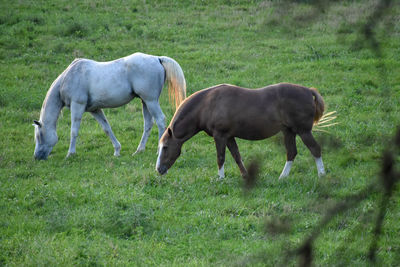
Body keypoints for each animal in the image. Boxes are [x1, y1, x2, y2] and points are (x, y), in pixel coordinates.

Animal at [32, 53, 186, 160]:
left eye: (39, 135)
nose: (37, 157)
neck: (68, 77)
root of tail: (157, 58)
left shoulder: (77, 106)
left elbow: (74, 131)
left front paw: (70, 153)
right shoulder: (94, 110)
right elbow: (106, 128)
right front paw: (117, 150)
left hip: (151, 101)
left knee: (160, 120)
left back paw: (158, 151)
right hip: (145, 102)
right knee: (148, 124)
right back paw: (138, 150)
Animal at [155, 84, 326, 180]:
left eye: (165, 147)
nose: (158, 169)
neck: (207, 104)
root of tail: (308, 91)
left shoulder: (220, 136)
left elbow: (220, 158)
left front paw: (220, 178)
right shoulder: (229, 137)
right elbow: (237, 156)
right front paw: (245, 176)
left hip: (303, 131)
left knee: (315, 149)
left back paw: (321, 175)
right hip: (289, 132)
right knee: (291, 153)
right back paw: (282, 177)